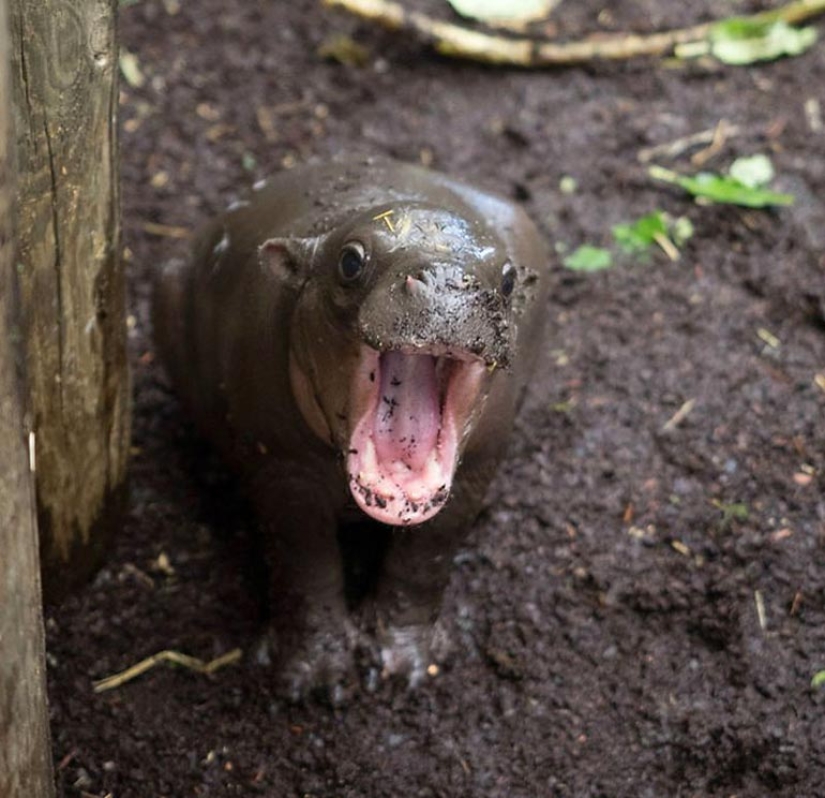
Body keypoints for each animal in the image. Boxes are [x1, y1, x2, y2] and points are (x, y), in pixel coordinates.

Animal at [153, 157, 550, 701]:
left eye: (508, 279)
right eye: (350, 261)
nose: (447, 278)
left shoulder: (475, 471)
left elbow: (425, 559)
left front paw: (406, 668)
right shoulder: (282, 468)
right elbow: (305, 563)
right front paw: (316, 681)